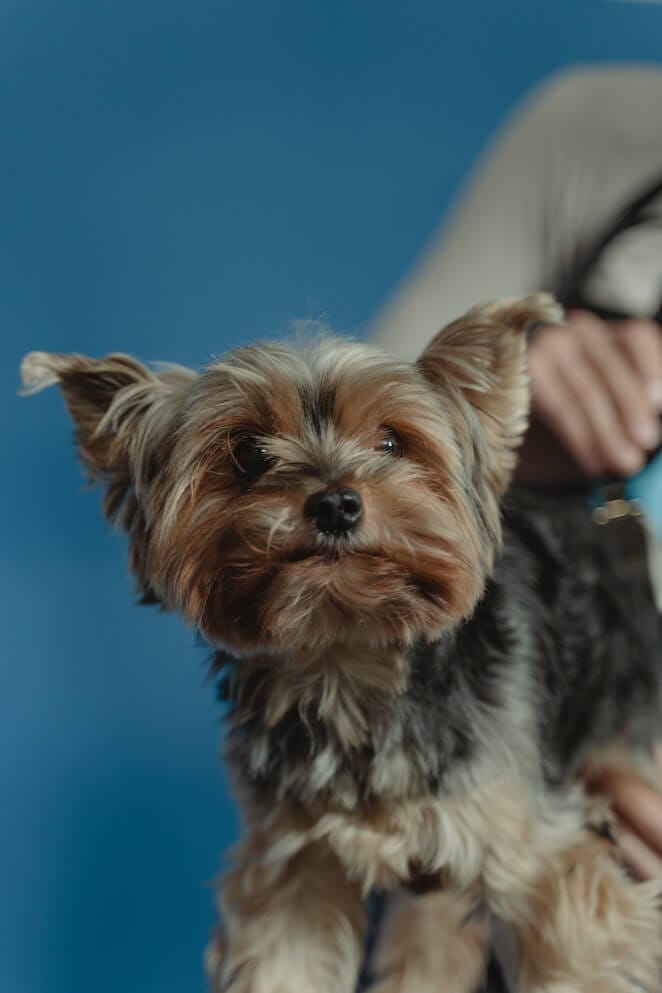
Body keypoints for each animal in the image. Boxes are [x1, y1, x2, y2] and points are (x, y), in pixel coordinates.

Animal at [20, 296, 662, 992]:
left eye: (391, 442)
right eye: (249, 453)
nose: (333, 503)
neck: (342, 654)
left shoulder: (540, 850)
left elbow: (579, 941)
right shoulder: (292, 872)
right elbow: (283, 961)